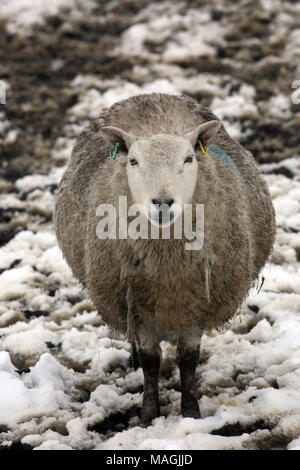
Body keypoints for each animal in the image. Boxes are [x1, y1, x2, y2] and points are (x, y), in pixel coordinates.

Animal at [55, 92, 276, 422]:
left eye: (189, 158)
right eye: (133, 161)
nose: (162, 202)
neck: (167, 267)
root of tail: (151, 95)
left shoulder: (197, 301)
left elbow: (188, 359)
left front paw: (190, 411)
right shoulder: (138, 305)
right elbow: (150, 361)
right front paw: (149, 413)